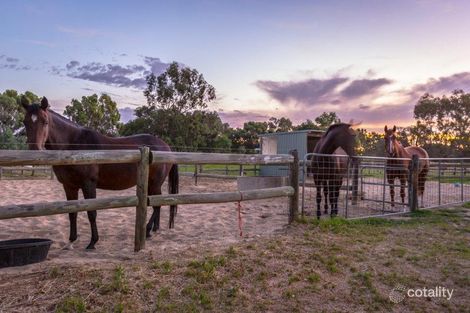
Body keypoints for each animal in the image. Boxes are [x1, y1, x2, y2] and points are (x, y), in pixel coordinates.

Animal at [20, 97, 179, 249]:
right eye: (25, 122)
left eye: (45, 121)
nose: (34, 151)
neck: (74, 146)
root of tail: (166, 147)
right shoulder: (69, 186)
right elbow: (72, 213)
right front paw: (71, 241)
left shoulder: (88, 184)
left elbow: (91, 213)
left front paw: (92, 242)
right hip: (151, 184)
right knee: (157, 203)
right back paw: (153, 230)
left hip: (155, 183)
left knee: (157, 204)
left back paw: (147, 230)